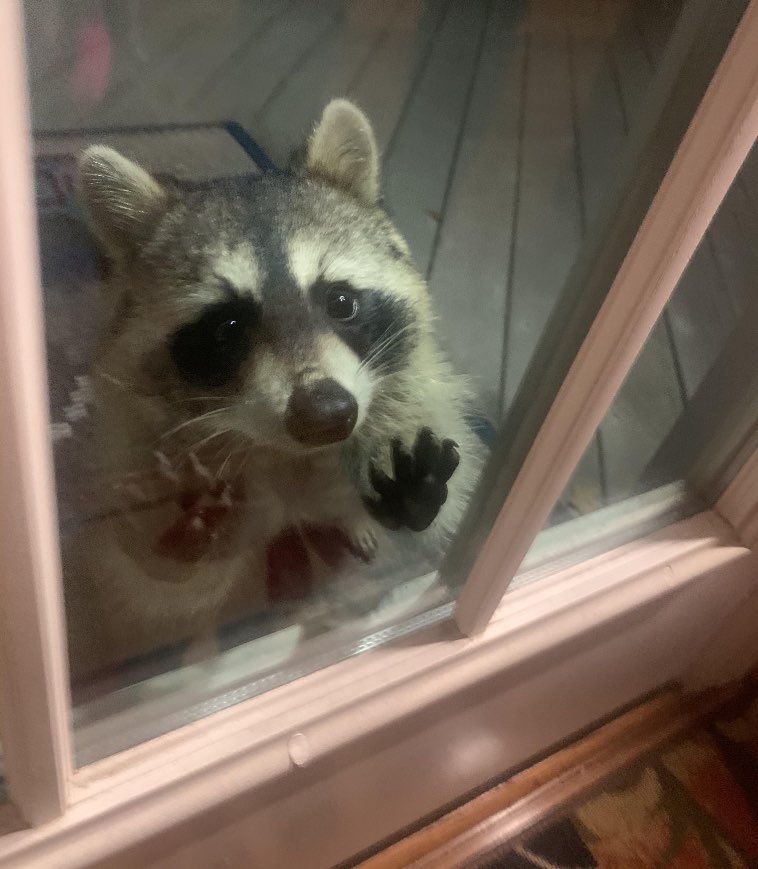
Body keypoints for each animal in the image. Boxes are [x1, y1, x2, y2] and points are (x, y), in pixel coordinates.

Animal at [64, 100, 482, 681]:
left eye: (341, 302)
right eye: (227, 327)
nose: (326, 413)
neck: (291, 453)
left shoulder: (416, 390)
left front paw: (414, 499)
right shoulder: (127, 437)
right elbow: (154, 589)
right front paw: (179, 531)